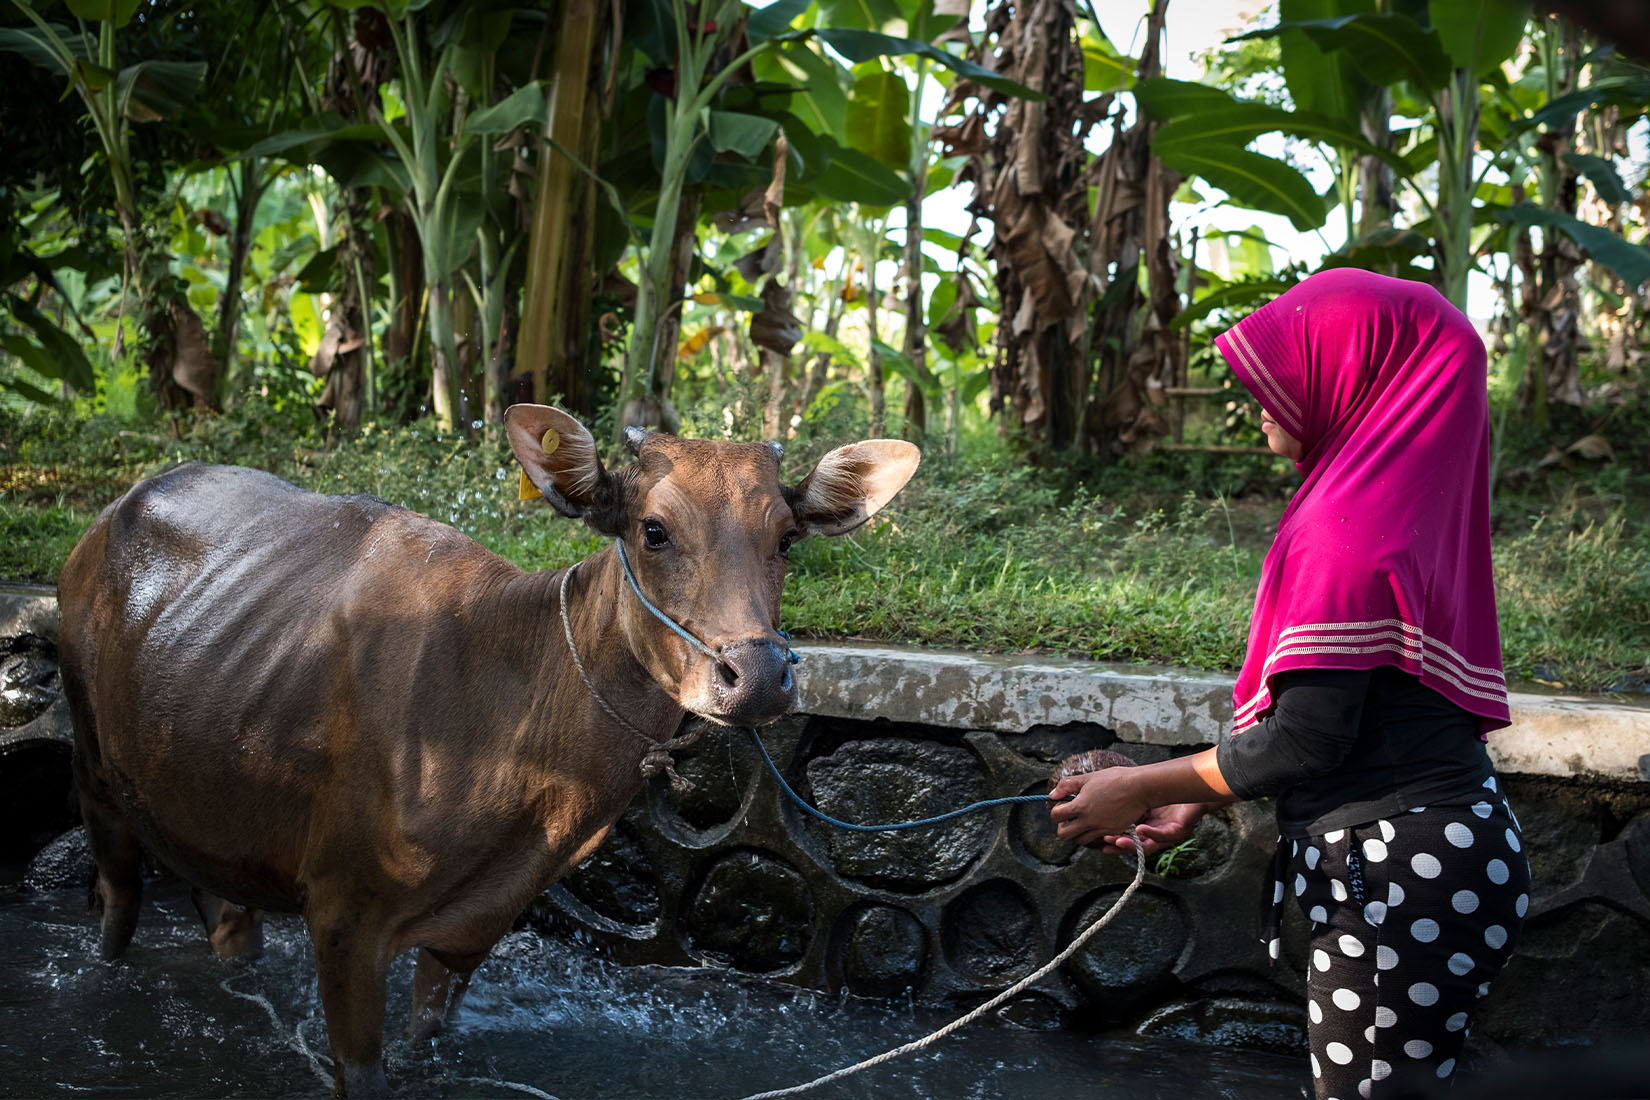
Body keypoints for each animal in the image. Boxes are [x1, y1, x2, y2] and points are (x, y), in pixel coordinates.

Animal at [58, 407, 924, 1100]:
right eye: (653, 529)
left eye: (787, 537)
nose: (759, 676)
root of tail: (105, 520)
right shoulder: (341, 914)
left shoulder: (472, 931)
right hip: (95, 776)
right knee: (116, 909)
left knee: (227, 921)